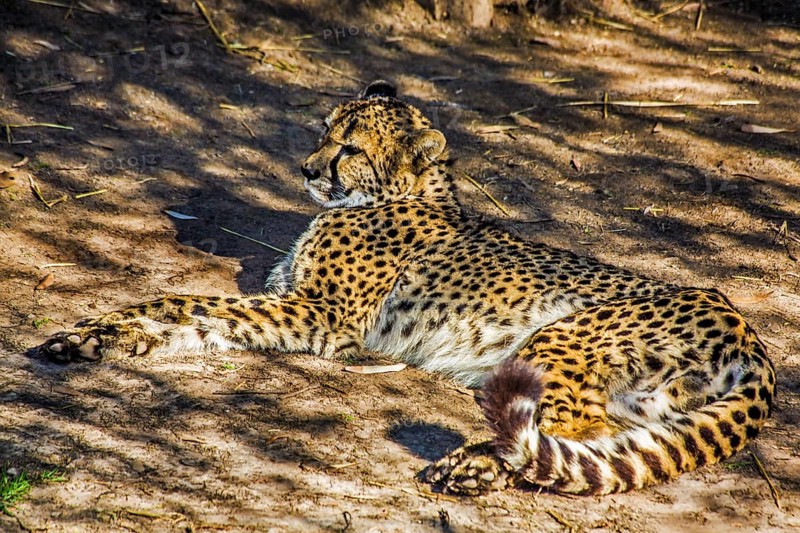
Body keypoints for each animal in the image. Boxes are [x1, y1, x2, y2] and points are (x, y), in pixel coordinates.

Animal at [39, 80, 776, 496]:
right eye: (324, 131)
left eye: (351, 148)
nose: (306, 167)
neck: (395, 193)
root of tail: (744, 326)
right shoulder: (292, 305)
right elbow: (189, 314)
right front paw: (98, 337)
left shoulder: (320, 315)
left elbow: (194, 301)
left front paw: (103, 330)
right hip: (638, 402)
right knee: (588, 437)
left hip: (557, 338)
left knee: (561, 425)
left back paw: (471, 467)